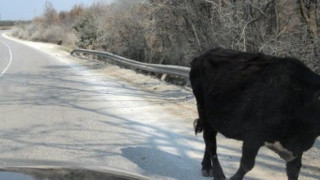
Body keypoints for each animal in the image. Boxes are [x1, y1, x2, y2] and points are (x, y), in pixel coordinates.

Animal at [190, 47, 320, 180]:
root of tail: (203, 55)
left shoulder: (298, 149)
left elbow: (294, 171)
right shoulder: (253, 137)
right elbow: (247, 165)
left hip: (212, 117)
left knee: (209, 139)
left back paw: (207, 166)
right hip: (203, 108)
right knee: (210, 141)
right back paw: (216, 173)